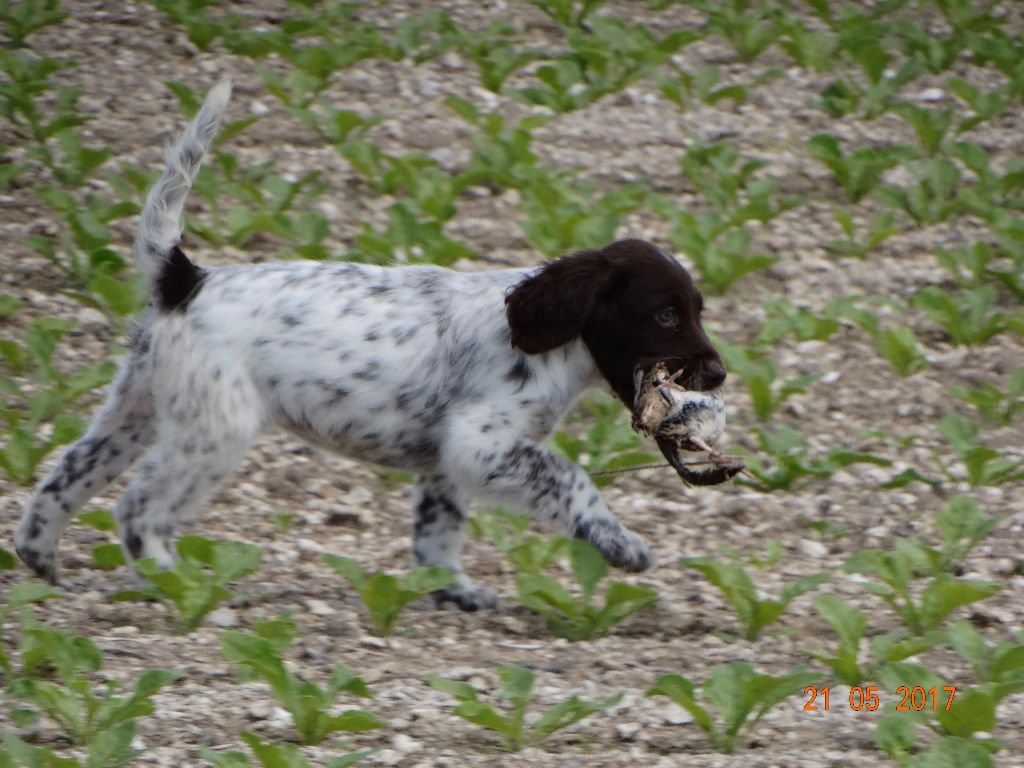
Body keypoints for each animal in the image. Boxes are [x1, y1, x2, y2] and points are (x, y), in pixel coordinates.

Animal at [12, 81, 724, 610]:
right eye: (665, 315)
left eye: (697, 310)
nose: (717, 375)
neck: (549, 343)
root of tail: (186, 277)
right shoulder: (482, 443)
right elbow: (571, 479)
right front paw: (620, 545)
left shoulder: (449, 464)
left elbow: (437, 532)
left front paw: (453, 591)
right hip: (214, 429)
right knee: (138, 508)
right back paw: (171, 583)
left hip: (135, 409)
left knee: (64, 476)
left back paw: (40, 559)